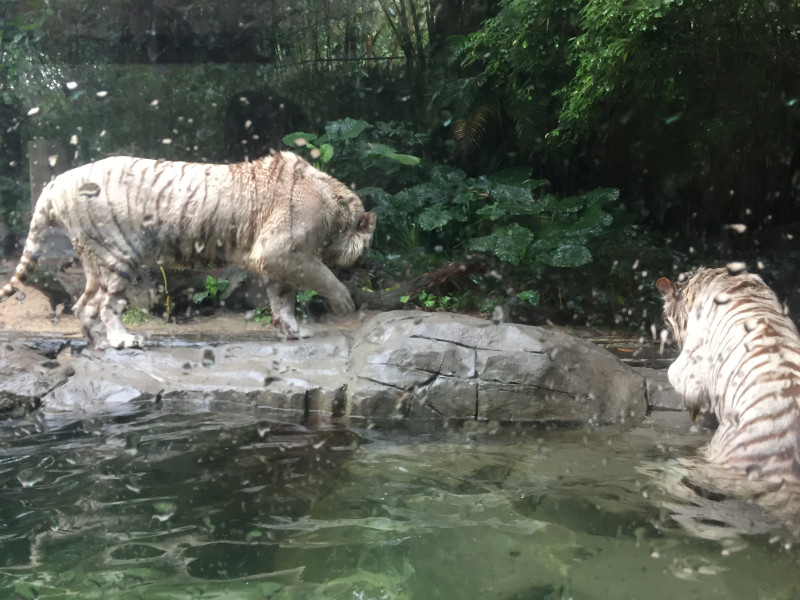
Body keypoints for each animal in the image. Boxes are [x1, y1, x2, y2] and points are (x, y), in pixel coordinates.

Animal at [0, 152, 376, 350]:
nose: (362, 263)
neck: (335, 207)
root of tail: (55, 182)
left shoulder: (277, 260)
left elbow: (283, 300)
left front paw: (293, 331)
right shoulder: (280, 250)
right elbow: (320, 276)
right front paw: (343, 301)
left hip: (93, 258)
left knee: (83, 304)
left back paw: (96, 342)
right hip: (119, 254)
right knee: (107, 305)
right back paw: (123, 340)